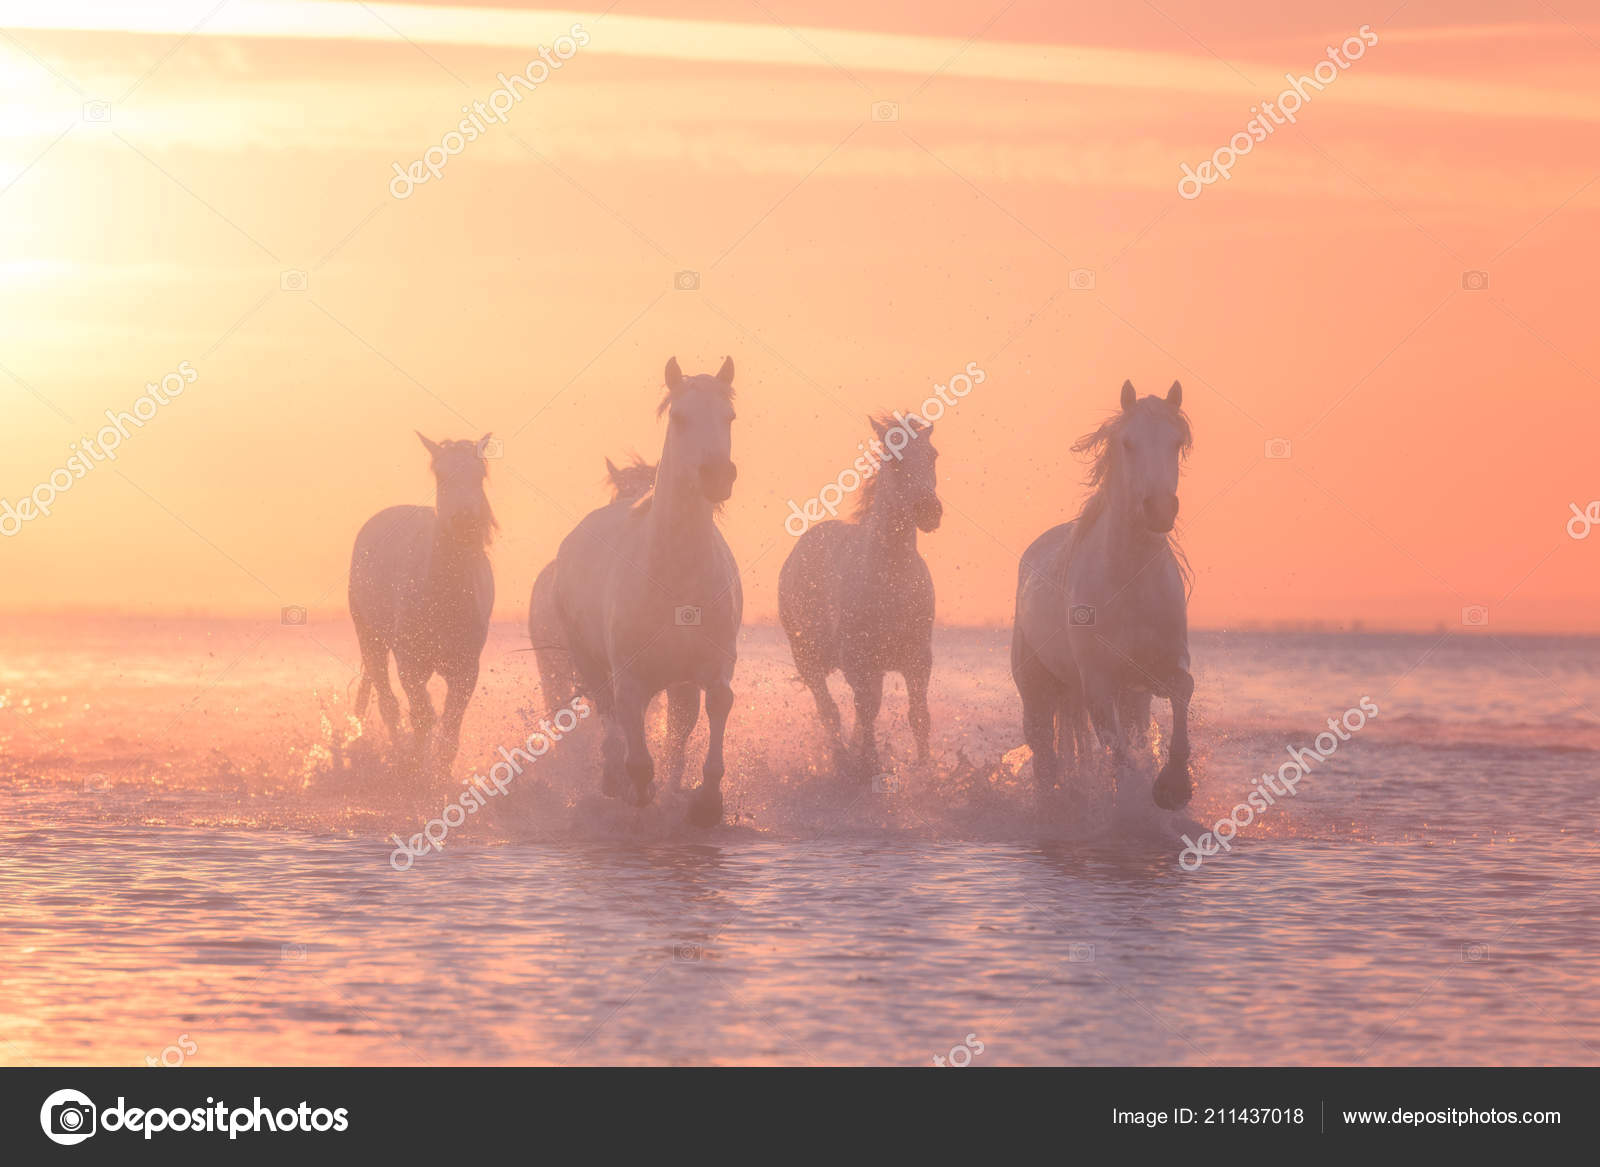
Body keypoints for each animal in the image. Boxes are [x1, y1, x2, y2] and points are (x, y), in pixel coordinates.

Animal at [348, 429, 492, 774]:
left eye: (480, 475)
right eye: (440, 474)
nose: (464, 521)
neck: (444, 595)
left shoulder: (466, 669)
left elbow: (449, 729)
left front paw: (439, 775)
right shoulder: (410, 665)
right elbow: (422, 717)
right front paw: (415, 771)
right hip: (370, 639)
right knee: (389, 705)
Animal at [550, 360, 742, 826]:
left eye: (729, 417)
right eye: (679, 417)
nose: (717, 476)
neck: (675, 578)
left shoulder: (714, 666)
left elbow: (717, 707)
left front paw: (707, 801)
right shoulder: (630, 677)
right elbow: (635, 753)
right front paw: (636, 790)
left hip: (679, 682)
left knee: (678, 729)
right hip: (591, 662)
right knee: (609, 717)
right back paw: (613, 780)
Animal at [774, 409, 934, 774]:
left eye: (933, 456)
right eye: (895, 460)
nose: (930, 511)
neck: (891, 579)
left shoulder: (919, 659)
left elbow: (918, 716)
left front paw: (927, 771)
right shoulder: (858, 662)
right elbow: (866, 709)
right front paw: (867, 763)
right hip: (807, 659)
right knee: (829, 711)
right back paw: (842, 759)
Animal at [1004, 382, 1196, 810]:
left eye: (1177, 442)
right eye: (1127, 443)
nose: (1160, 510)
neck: (1131, 585)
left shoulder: (1157, 668)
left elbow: (1182, 690)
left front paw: (1173, 786)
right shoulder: (1098, 683)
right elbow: (1117, 753)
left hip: (1123, 697)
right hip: (1037, 689)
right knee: (1046, 756)